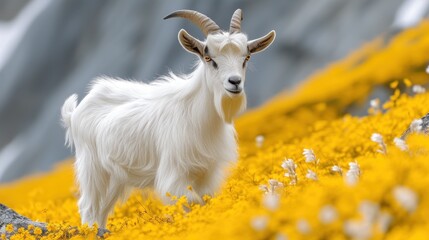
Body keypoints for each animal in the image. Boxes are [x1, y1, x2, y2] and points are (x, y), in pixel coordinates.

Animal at [60, 9, 274, 227]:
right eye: (209, 58)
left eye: (246, 58)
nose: (235, 82)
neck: (198, 116)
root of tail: (75, 112)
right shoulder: (173, 175)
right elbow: (192, 202)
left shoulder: (207, 172)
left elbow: (205, 201)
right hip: (92, 168)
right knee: (89, 208)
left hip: (115, 177)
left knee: (101, 212)